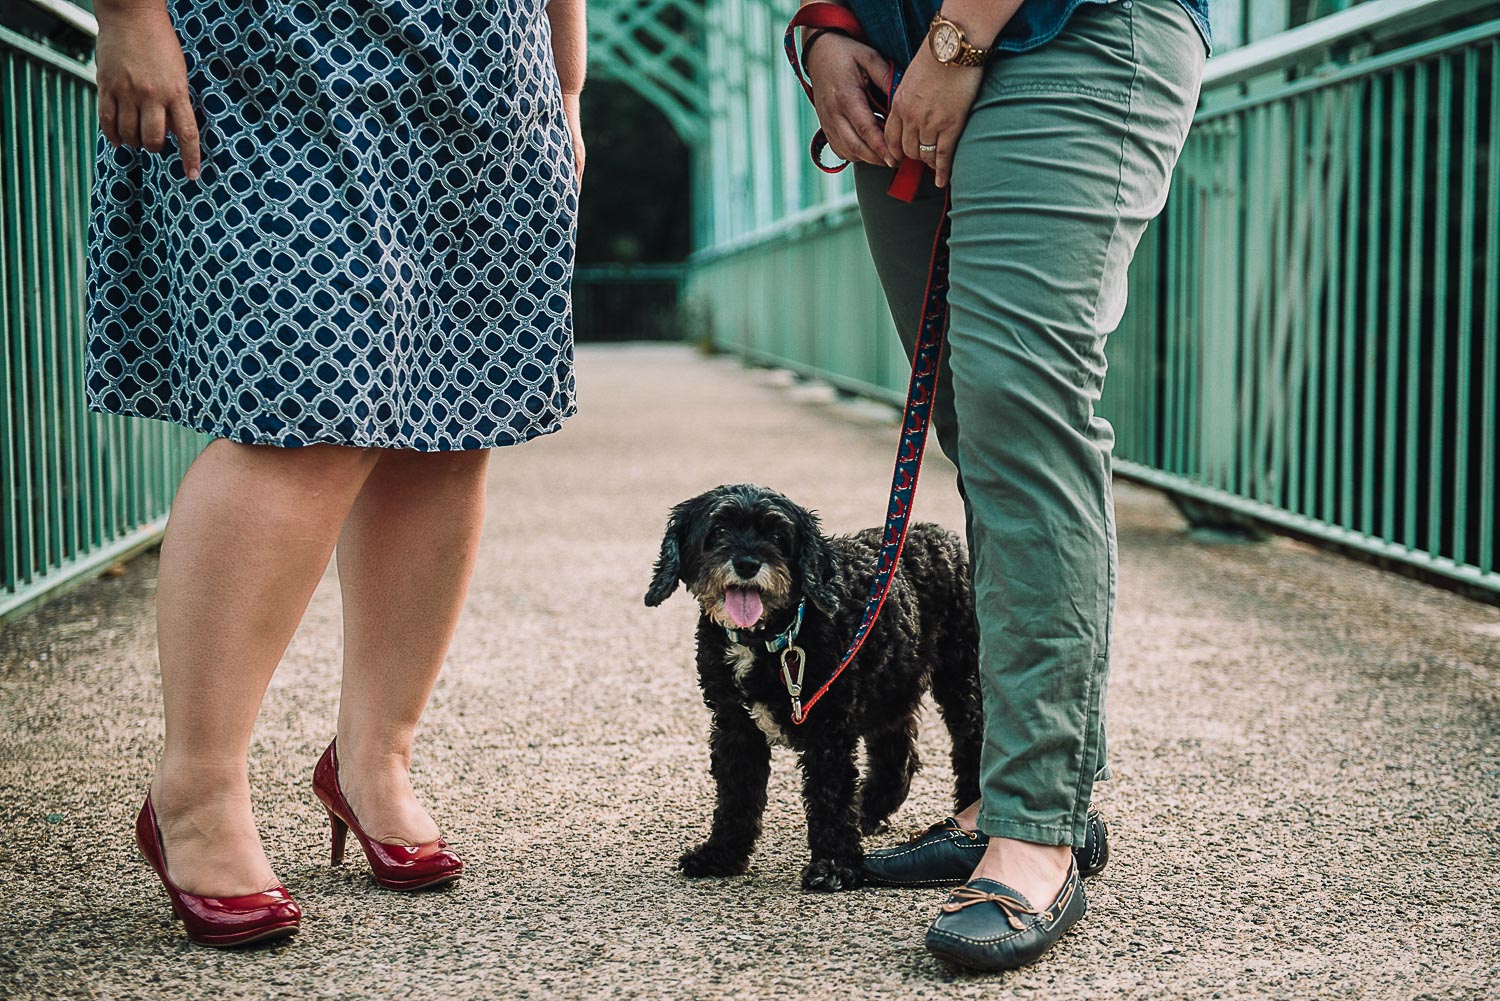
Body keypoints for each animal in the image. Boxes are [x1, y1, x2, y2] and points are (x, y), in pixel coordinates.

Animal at [645, 483, 984, 894]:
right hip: (890, 680)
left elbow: (830, 797)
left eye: (777, 535)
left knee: (973, 743)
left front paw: (835, 865)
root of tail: (937, 534)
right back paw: (869, 809)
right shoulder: (734, 726)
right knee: (897, 750)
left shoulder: (828, 728)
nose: (747, 564)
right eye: (718, 530)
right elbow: (735, 796)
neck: (771, 638)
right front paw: (720, 855)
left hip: (961, 676)